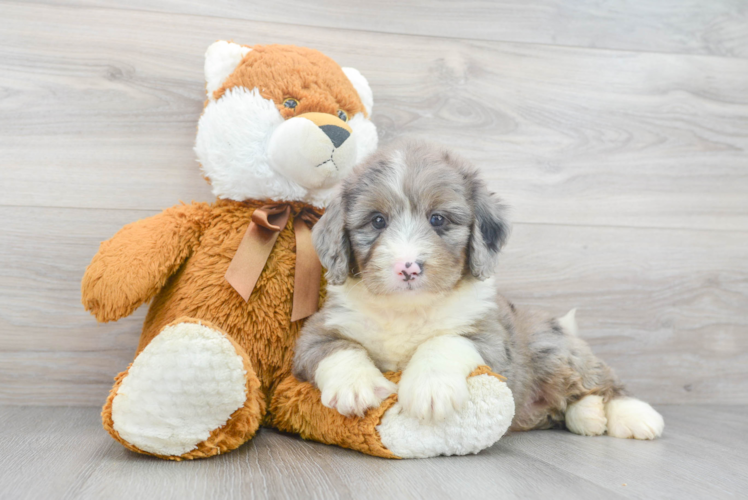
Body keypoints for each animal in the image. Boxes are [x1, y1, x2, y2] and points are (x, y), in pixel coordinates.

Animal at [294, 139, 668, 440]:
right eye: (377, 221)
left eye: (438, 219)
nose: (408, 267)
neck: (408, 309)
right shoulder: (315, 333)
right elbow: (338, 348)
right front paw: (357, 387)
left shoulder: (491, 341)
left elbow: (442, 341)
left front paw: (430, 388)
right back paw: (588, 416)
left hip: (553, 351)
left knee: (604, 382)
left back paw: (633, 415)